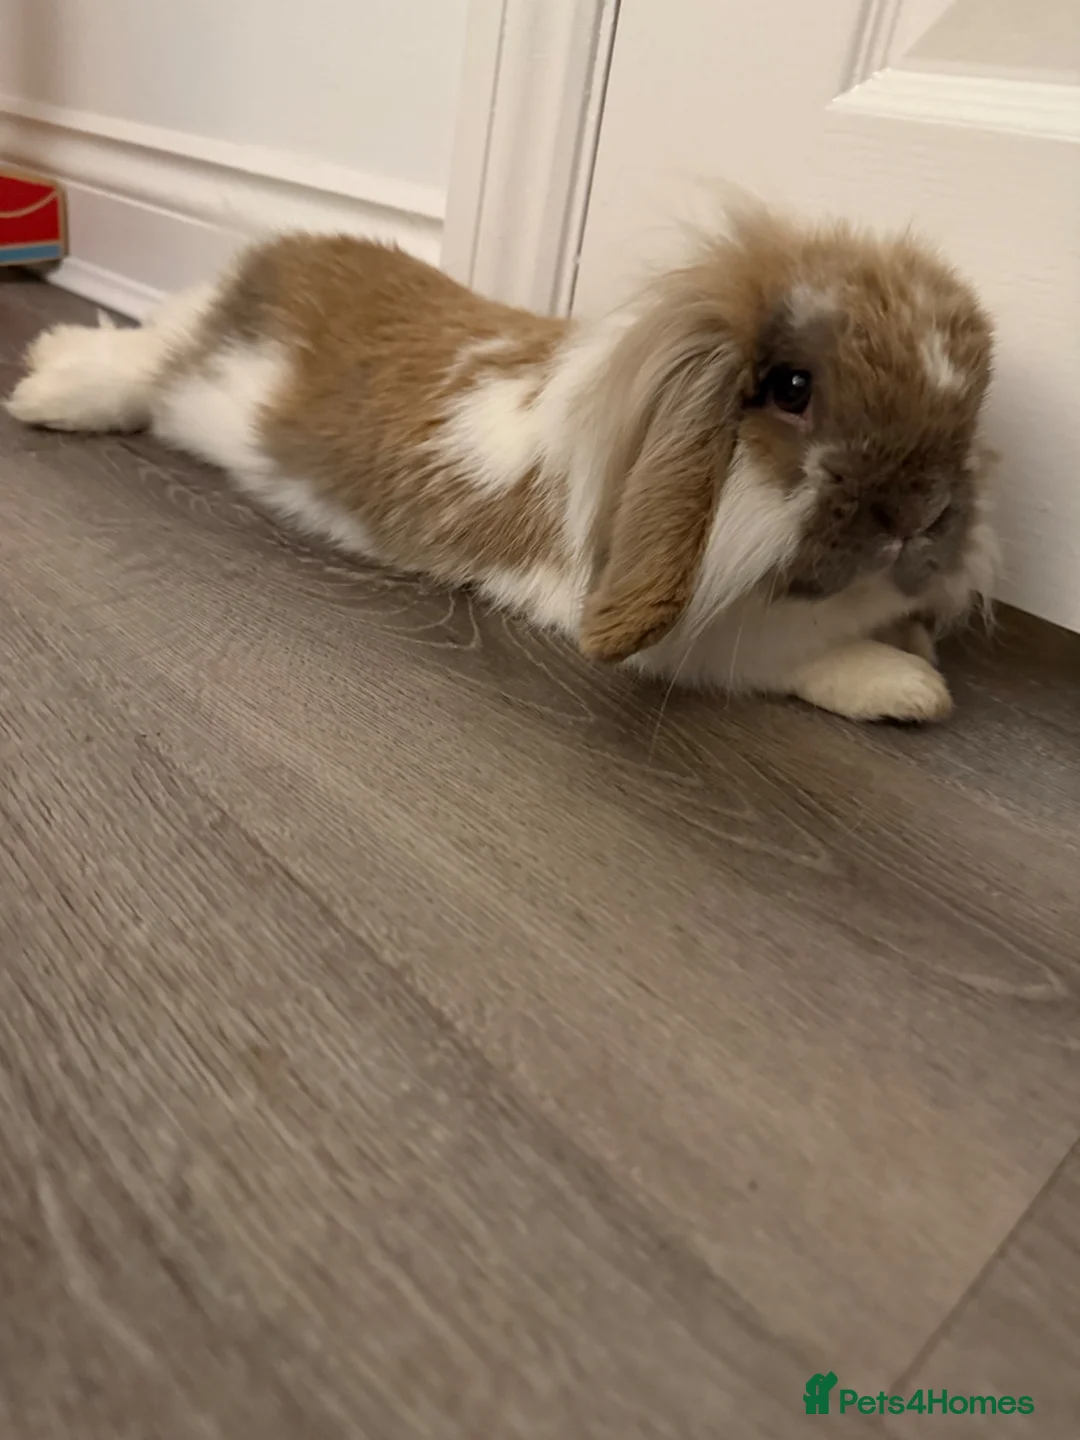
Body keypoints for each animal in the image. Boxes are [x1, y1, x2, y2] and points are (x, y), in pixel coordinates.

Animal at [6, 204, 996, 722]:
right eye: (791, 387)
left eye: (972, 405)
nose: (923, 514)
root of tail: (279, 250)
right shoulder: (694, 635)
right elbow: (790, 654)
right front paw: (909, 687)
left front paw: (911, 647)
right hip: (193, 371)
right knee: (141, 365)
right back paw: (46, 390)